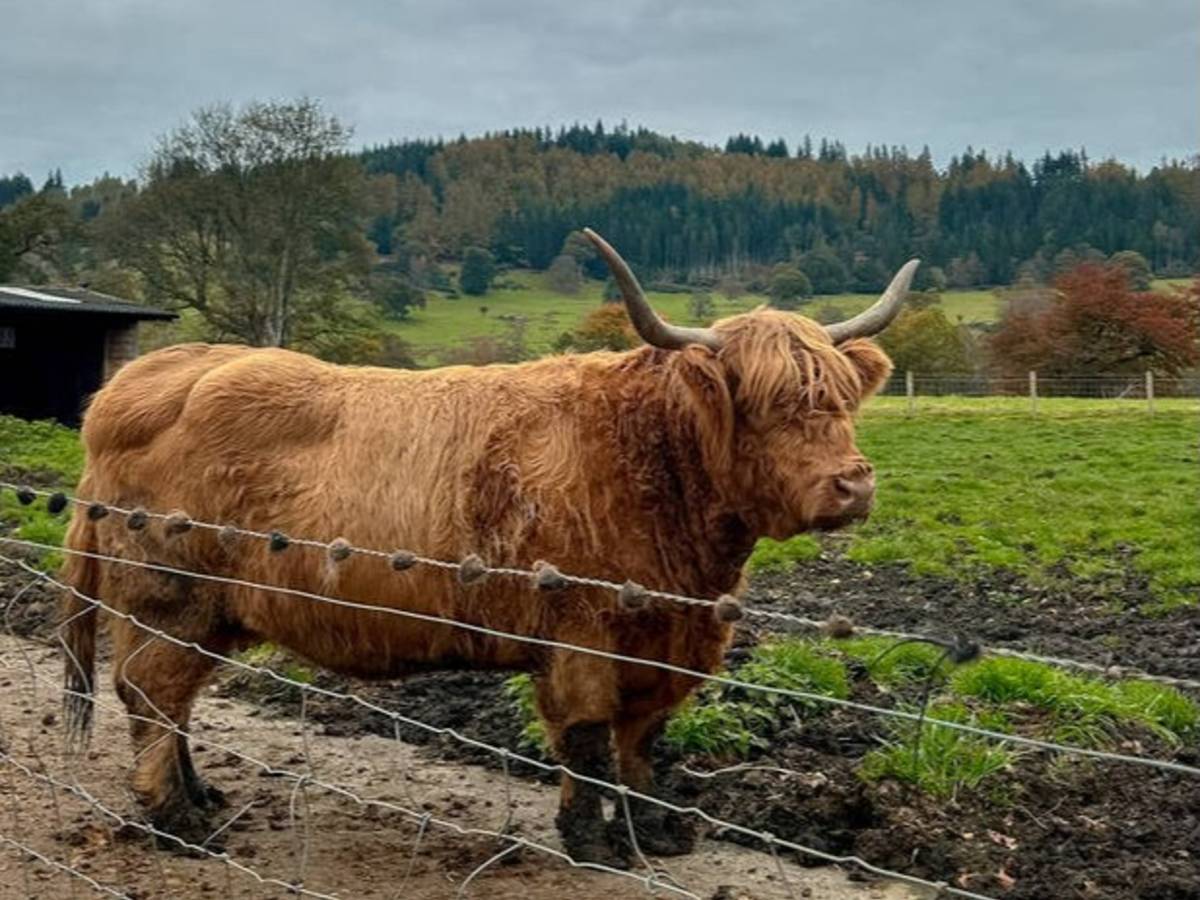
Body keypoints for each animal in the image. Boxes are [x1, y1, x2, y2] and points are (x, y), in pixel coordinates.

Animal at [60, 229, 917, 866]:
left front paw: (659, 832)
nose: (852, 485)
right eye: (768, 403)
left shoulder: (669, 642)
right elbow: (587, 739)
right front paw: (592, 842)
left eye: (843, 398)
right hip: (169, 598)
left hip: (213, 612)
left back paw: (201, 795)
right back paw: (180, 821)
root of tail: (137, 383)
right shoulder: (580, 633)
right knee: (152, 694)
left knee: (171, 701)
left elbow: (644, 742)